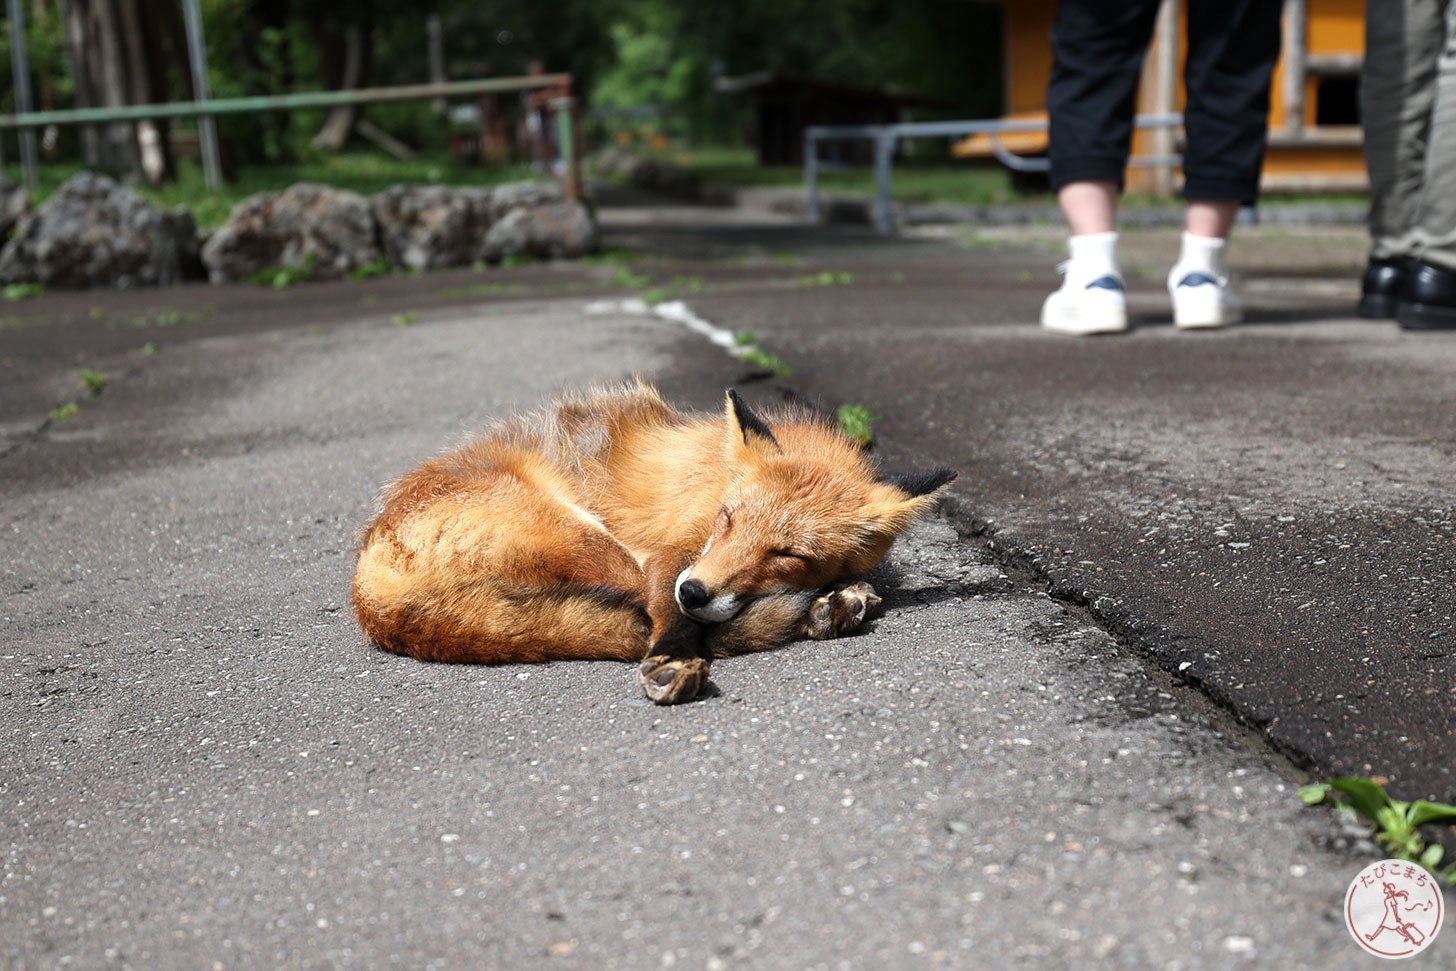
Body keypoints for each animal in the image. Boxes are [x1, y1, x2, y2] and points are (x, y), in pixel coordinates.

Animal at [350, 381, 955, 707]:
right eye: (727, 520)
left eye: (787, 555)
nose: (697, 592)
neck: (715, 476)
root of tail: (366, 588)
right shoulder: (671, 548)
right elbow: (666, 610)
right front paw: (670, 656)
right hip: (596, 543)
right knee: (645, 613)